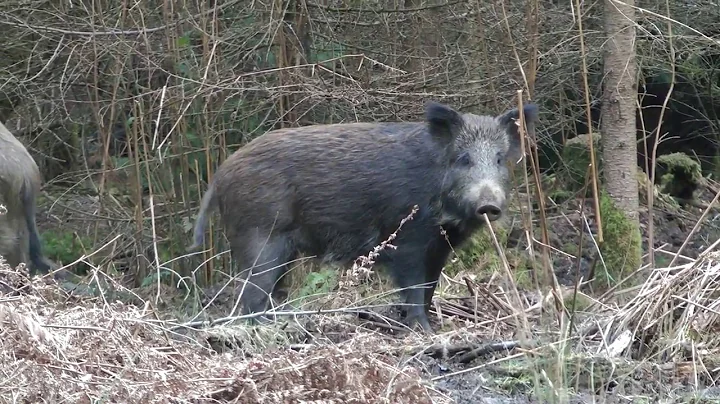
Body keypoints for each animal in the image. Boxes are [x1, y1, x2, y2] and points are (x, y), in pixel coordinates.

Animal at [188, 101, 539, 332]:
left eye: (499, 159)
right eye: (464, 159)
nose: (488, 204)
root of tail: (220, 174)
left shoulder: (439, 248)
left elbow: (429, 289)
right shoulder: (407, 241)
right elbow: (414, 289)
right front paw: (424, 332)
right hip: (260, 238)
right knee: (249, 297)